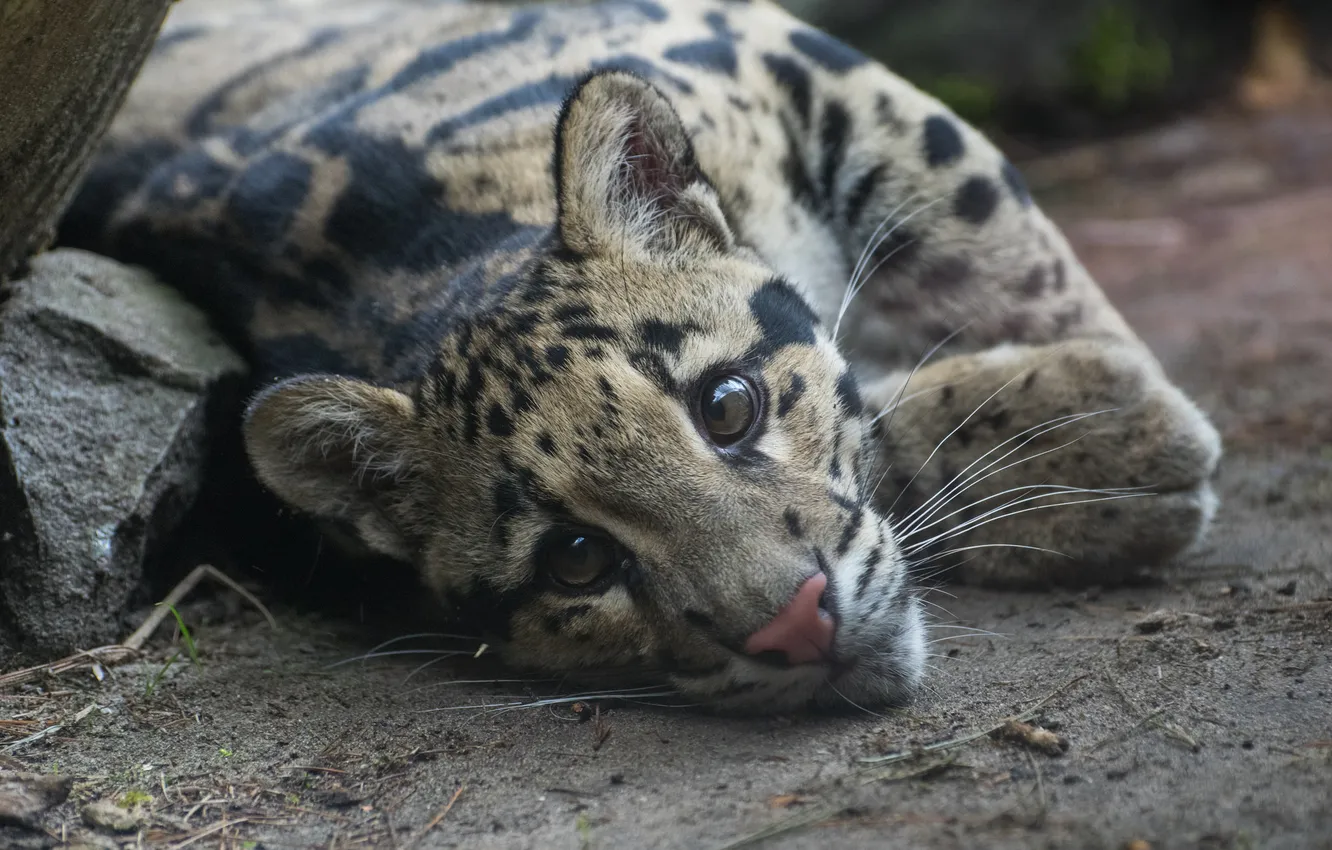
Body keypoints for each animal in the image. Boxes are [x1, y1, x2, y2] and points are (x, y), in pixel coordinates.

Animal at [59, 0, 1222, 714]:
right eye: (576, 560)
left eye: (729, 406)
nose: (793, 629)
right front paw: (1099, 446)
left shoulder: (790, 62)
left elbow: (1000, 243)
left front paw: (1096, 396)